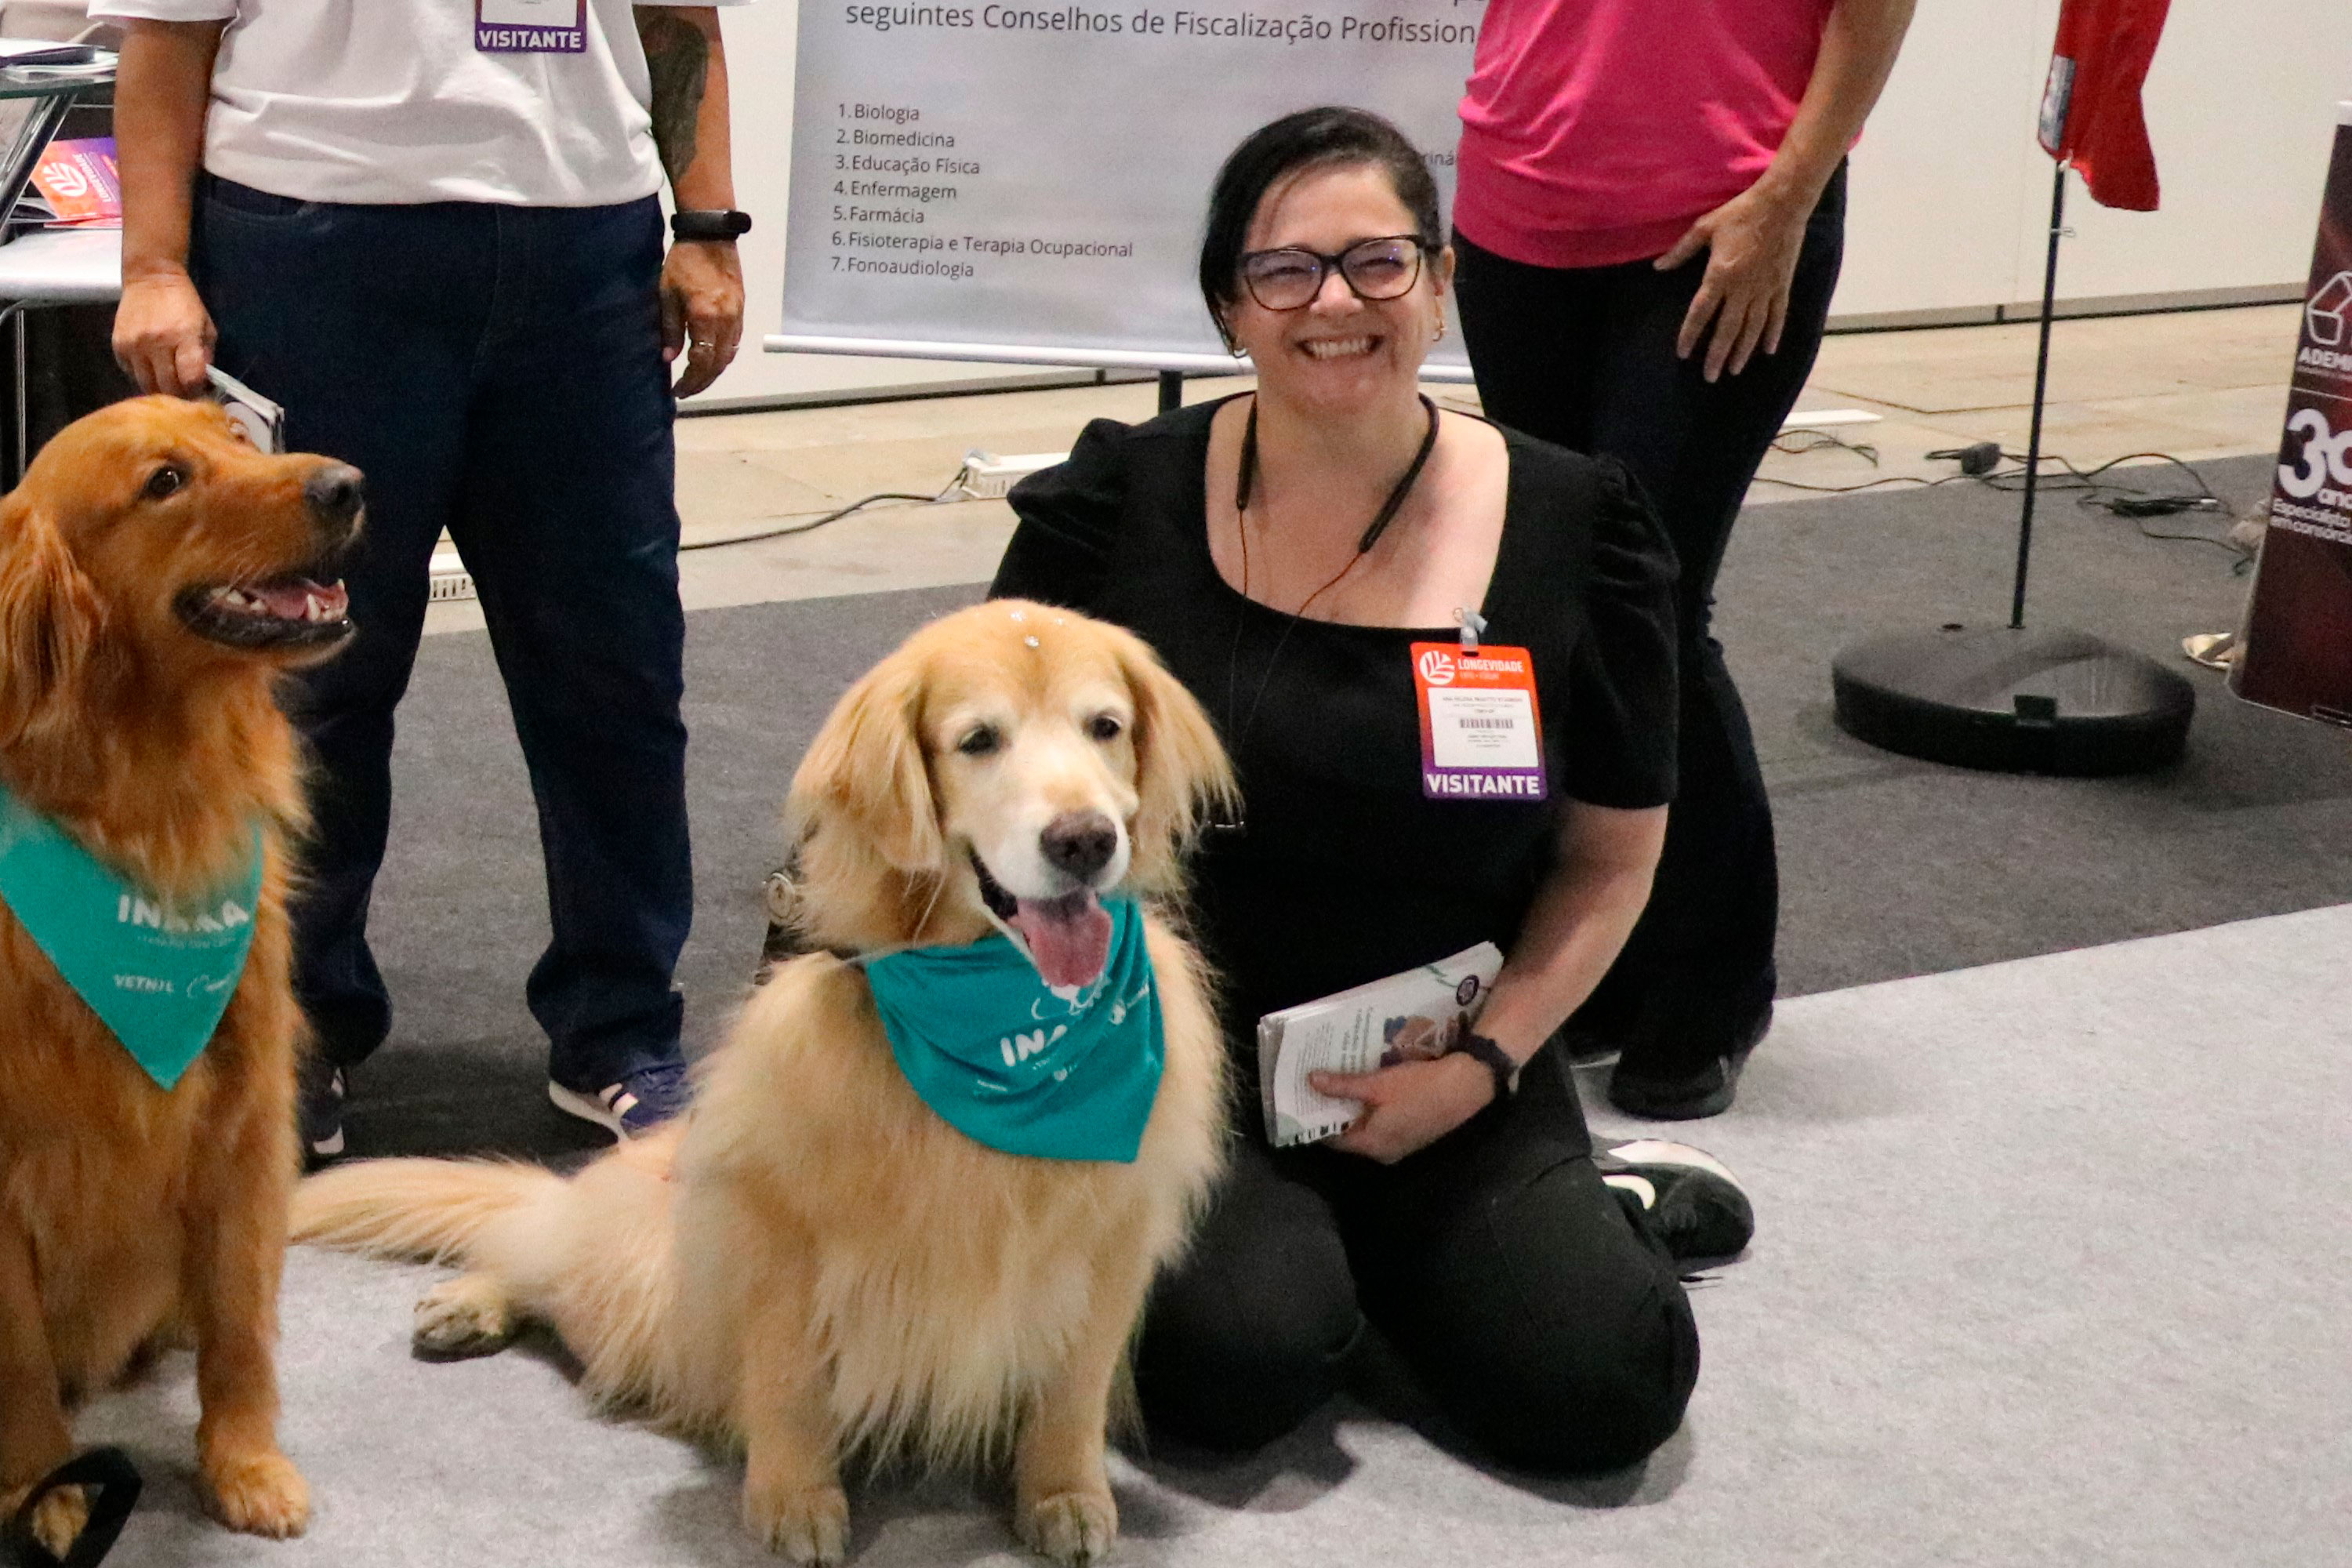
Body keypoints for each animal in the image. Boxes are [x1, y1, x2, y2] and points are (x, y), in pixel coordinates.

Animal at [0, 394, 362, 1561]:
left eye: (234, 436)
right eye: (166, 481)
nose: (347, 485)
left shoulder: (245, 1127)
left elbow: (239, 1329)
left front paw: (243, 1465)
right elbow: (21, 1363)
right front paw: (45, 1489)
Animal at [292, 597, 1242, 1561]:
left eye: (1105, 727)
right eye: (979, 740)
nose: (1085, 840)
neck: (1002, 1018)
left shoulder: (1112, 1233)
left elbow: (1074, 1390)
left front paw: (1065, 1494)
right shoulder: (778, 1221)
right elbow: (788, 1381)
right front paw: (796, 1497)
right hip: (652, 1282)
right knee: (543, 1245)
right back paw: (475, 1298)